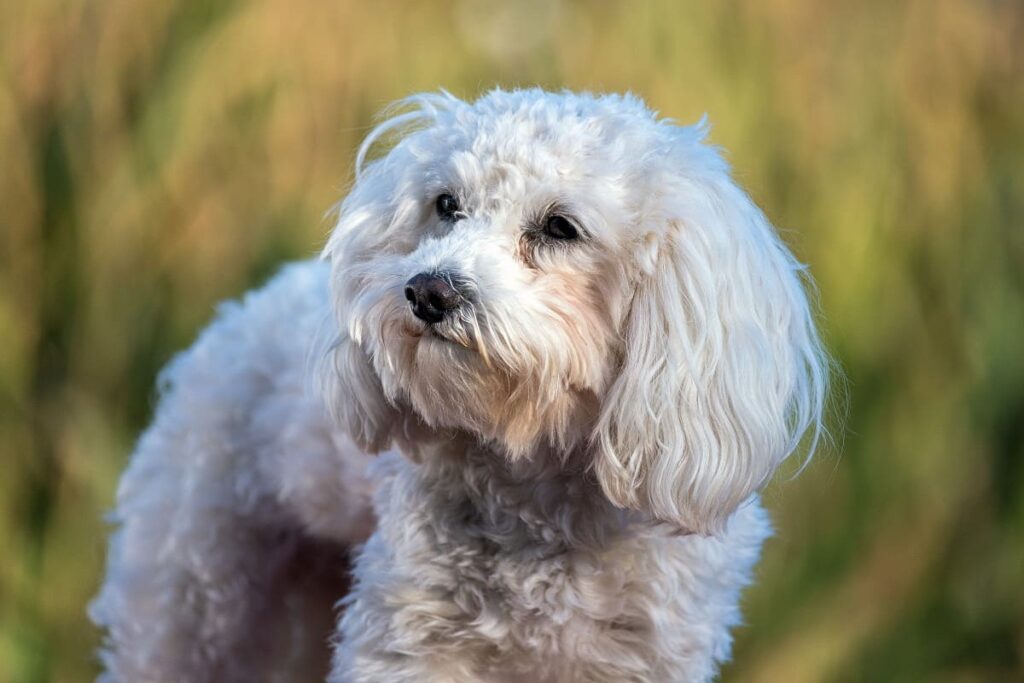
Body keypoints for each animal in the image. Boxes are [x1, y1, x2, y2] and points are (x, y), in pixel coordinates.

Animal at [92, 90, 831, 683]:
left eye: (560, 227)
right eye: (446, 205)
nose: (428, 291)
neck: (542, 477)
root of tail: (234, 313)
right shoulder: (409, 644)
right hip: (193, 601)